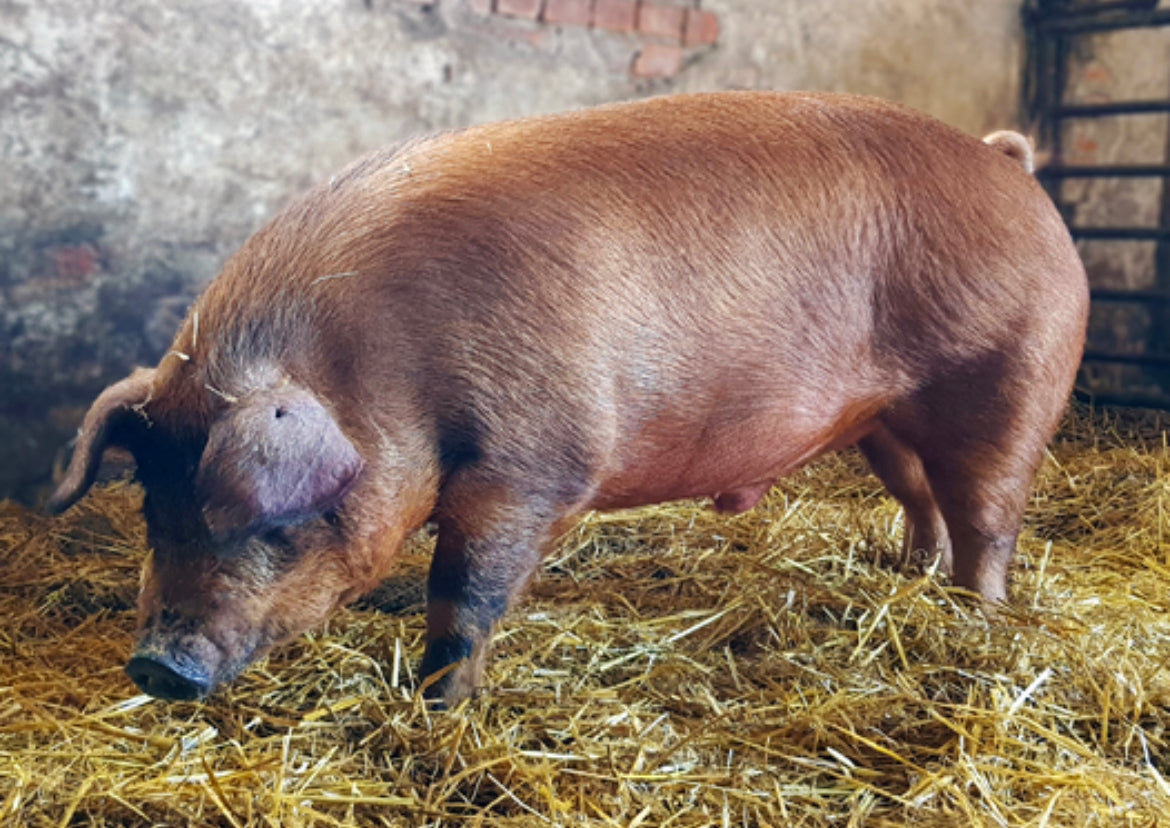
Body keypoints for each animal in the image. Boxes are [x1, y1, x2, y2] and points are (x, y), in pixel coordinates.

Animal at [45, 93, 1085, 706]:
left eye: (279, 523)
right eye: (153, 506)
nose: (155, 665)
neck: (381, 367)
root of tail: (1008, 165)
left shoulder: (532, 465)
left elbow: (465, 594)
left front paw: (438, 710)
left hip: (1009, 376)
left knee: (989, 518)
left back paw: (976, 619)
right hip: (883, 420)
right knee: (922, 499)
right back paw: (905, 576)